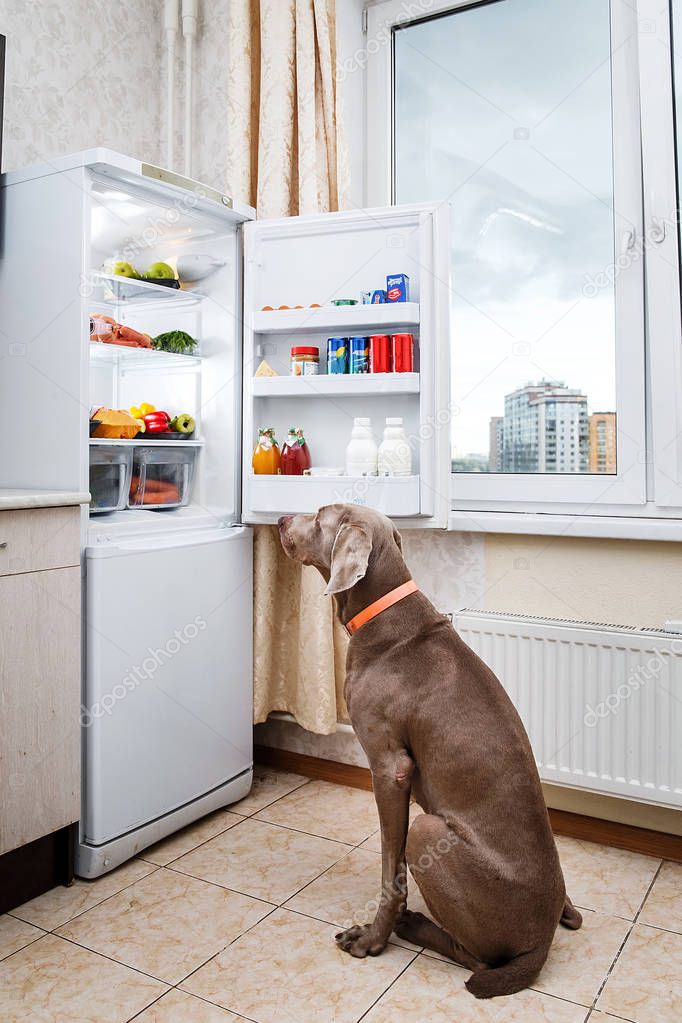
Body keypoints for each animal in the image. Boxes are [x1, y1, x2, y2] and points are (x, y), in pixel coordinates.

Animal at [280, 503, 584, 998]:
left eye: (321, 514)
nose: (282, 520)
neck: (384, 616)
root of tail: (540, 947)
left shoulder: (389, 768)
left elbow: (391, 871)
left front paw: (372, 938)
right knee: (570, 917)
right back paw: (567, 909)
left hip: (428, 830)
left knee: (476, 958)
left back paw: (415, 926)